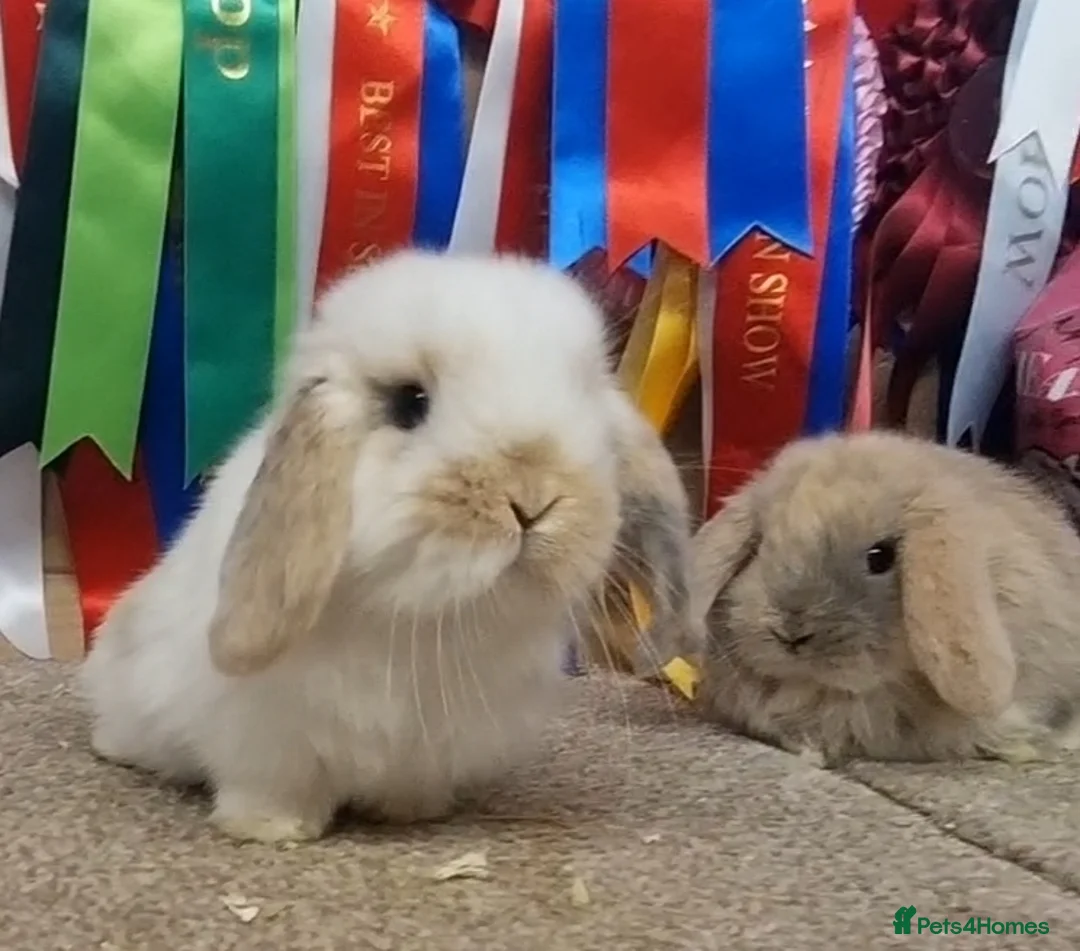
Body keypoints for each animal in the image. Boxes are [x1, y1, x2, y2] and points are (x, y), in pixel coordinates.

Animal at [79, 249, 695, 843]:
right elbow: (270, 788)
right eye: (408, 402)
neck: (427, 620)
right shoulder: (267, 741)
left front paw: (410, 813)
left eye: (585, 399)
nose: (533, 500)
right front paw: (270, 830)